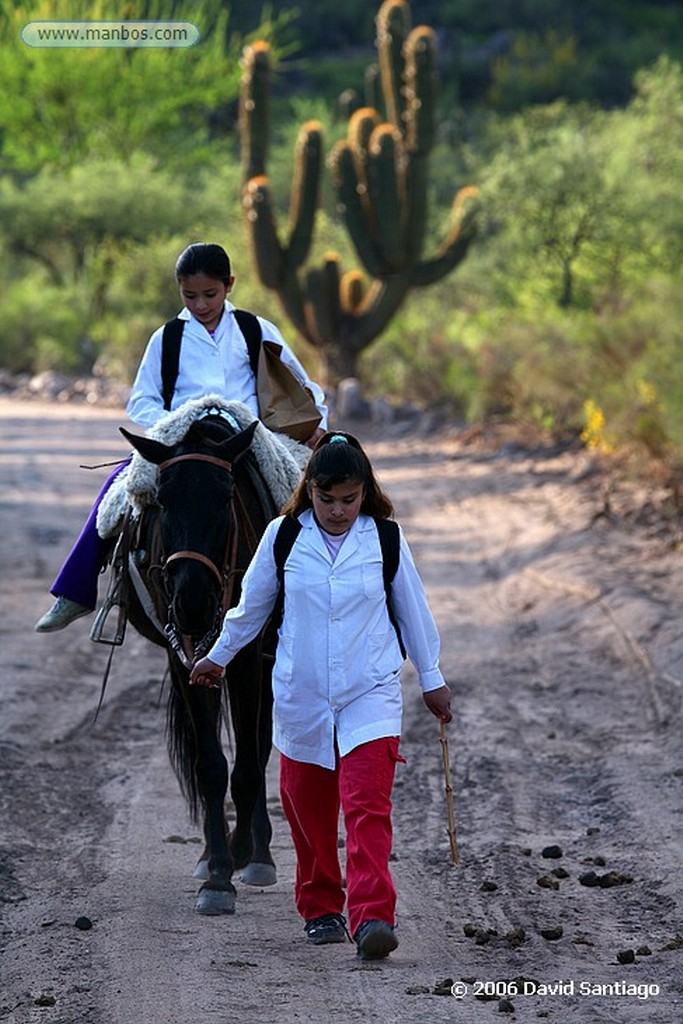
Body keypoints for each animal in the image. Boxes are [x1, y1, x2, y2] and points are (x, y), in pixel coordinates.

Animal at [118, 411, 278, 917]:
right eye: (163, 500)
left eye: (226, 497)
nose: (191, 603)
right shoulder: (183, 656)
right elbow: (209, 764)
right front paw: (217, 874)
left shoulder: (248, 657)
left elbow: (248, 764)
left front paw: (243, 856)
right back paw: (212, 852)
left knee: (261, 744)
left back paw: (258, 852)